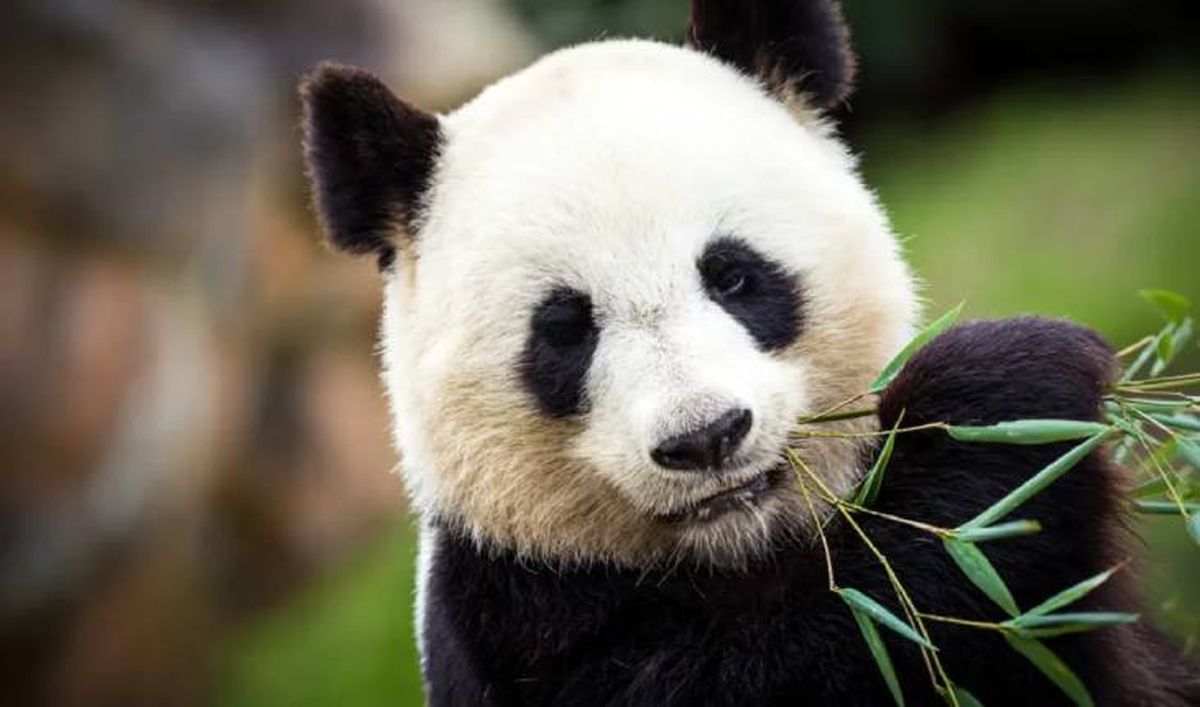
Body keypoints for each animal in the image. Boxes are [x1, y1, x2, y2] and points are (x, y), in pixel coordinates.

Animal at [299, 1, 1199, 704]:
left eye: (732, 274)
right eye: (565, 328)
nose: (705, 437)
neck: (739, 548)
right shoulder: (511, 612)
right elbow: (799, 653)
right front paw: (1010, 390)